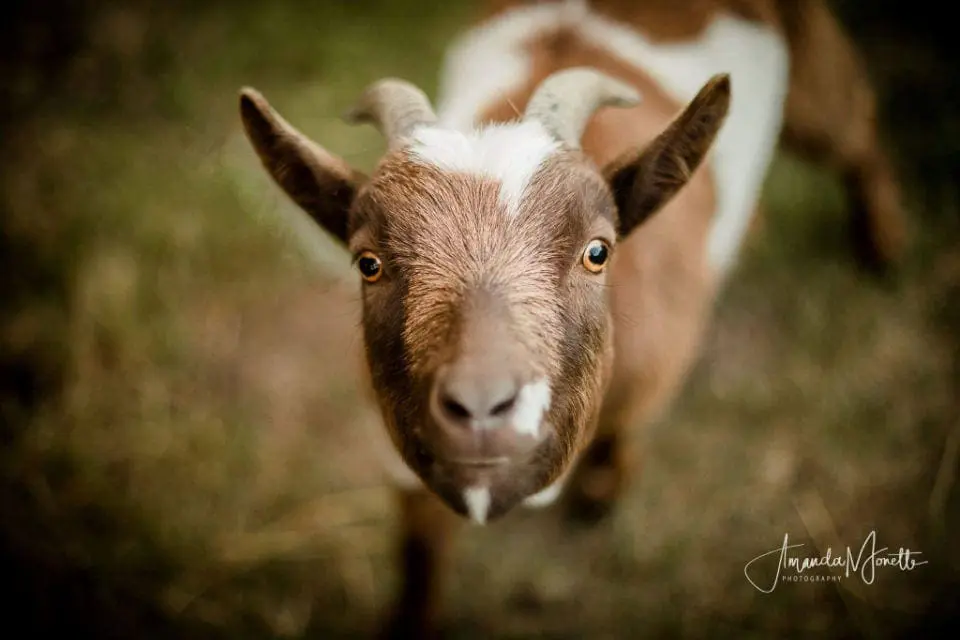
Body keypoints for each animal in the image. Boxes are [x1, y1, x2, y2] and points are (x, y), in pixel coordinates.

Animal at [236, 0, 904, 636]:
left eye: (598, 251)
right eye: (368, 263)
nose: (483, 407)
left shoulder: (651, 380)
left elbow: (618, 440)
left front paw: (598, 501)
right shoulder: (396, 449)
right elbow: (420, 554)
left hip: (816, 82)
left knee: (859, 128)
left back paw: (885, 254)